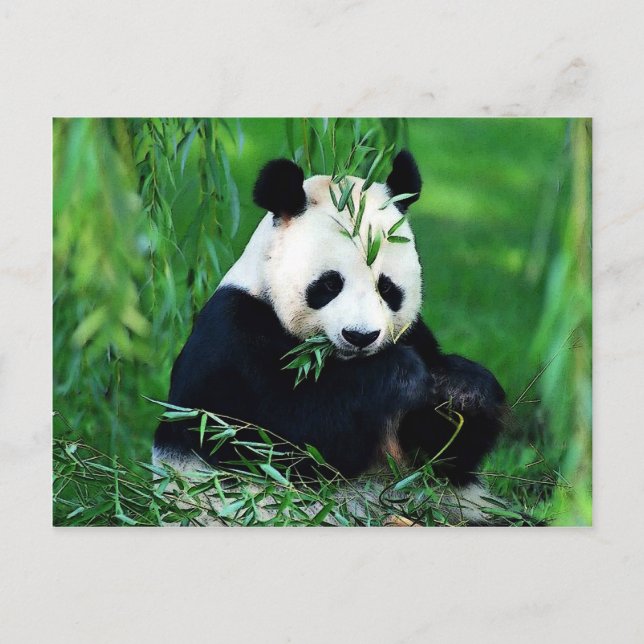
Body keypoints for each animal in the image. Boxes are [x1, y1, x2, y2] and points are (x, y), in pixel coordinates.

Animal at [153, 150, 507, 524]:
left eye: (386, 287)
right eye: (329, 284)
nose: (360, 336)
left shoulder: (415, 334)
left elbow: (441, 456)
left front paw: (463, 389)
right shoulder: (232, 340)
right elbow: (285, 436)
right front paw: (398, 374)